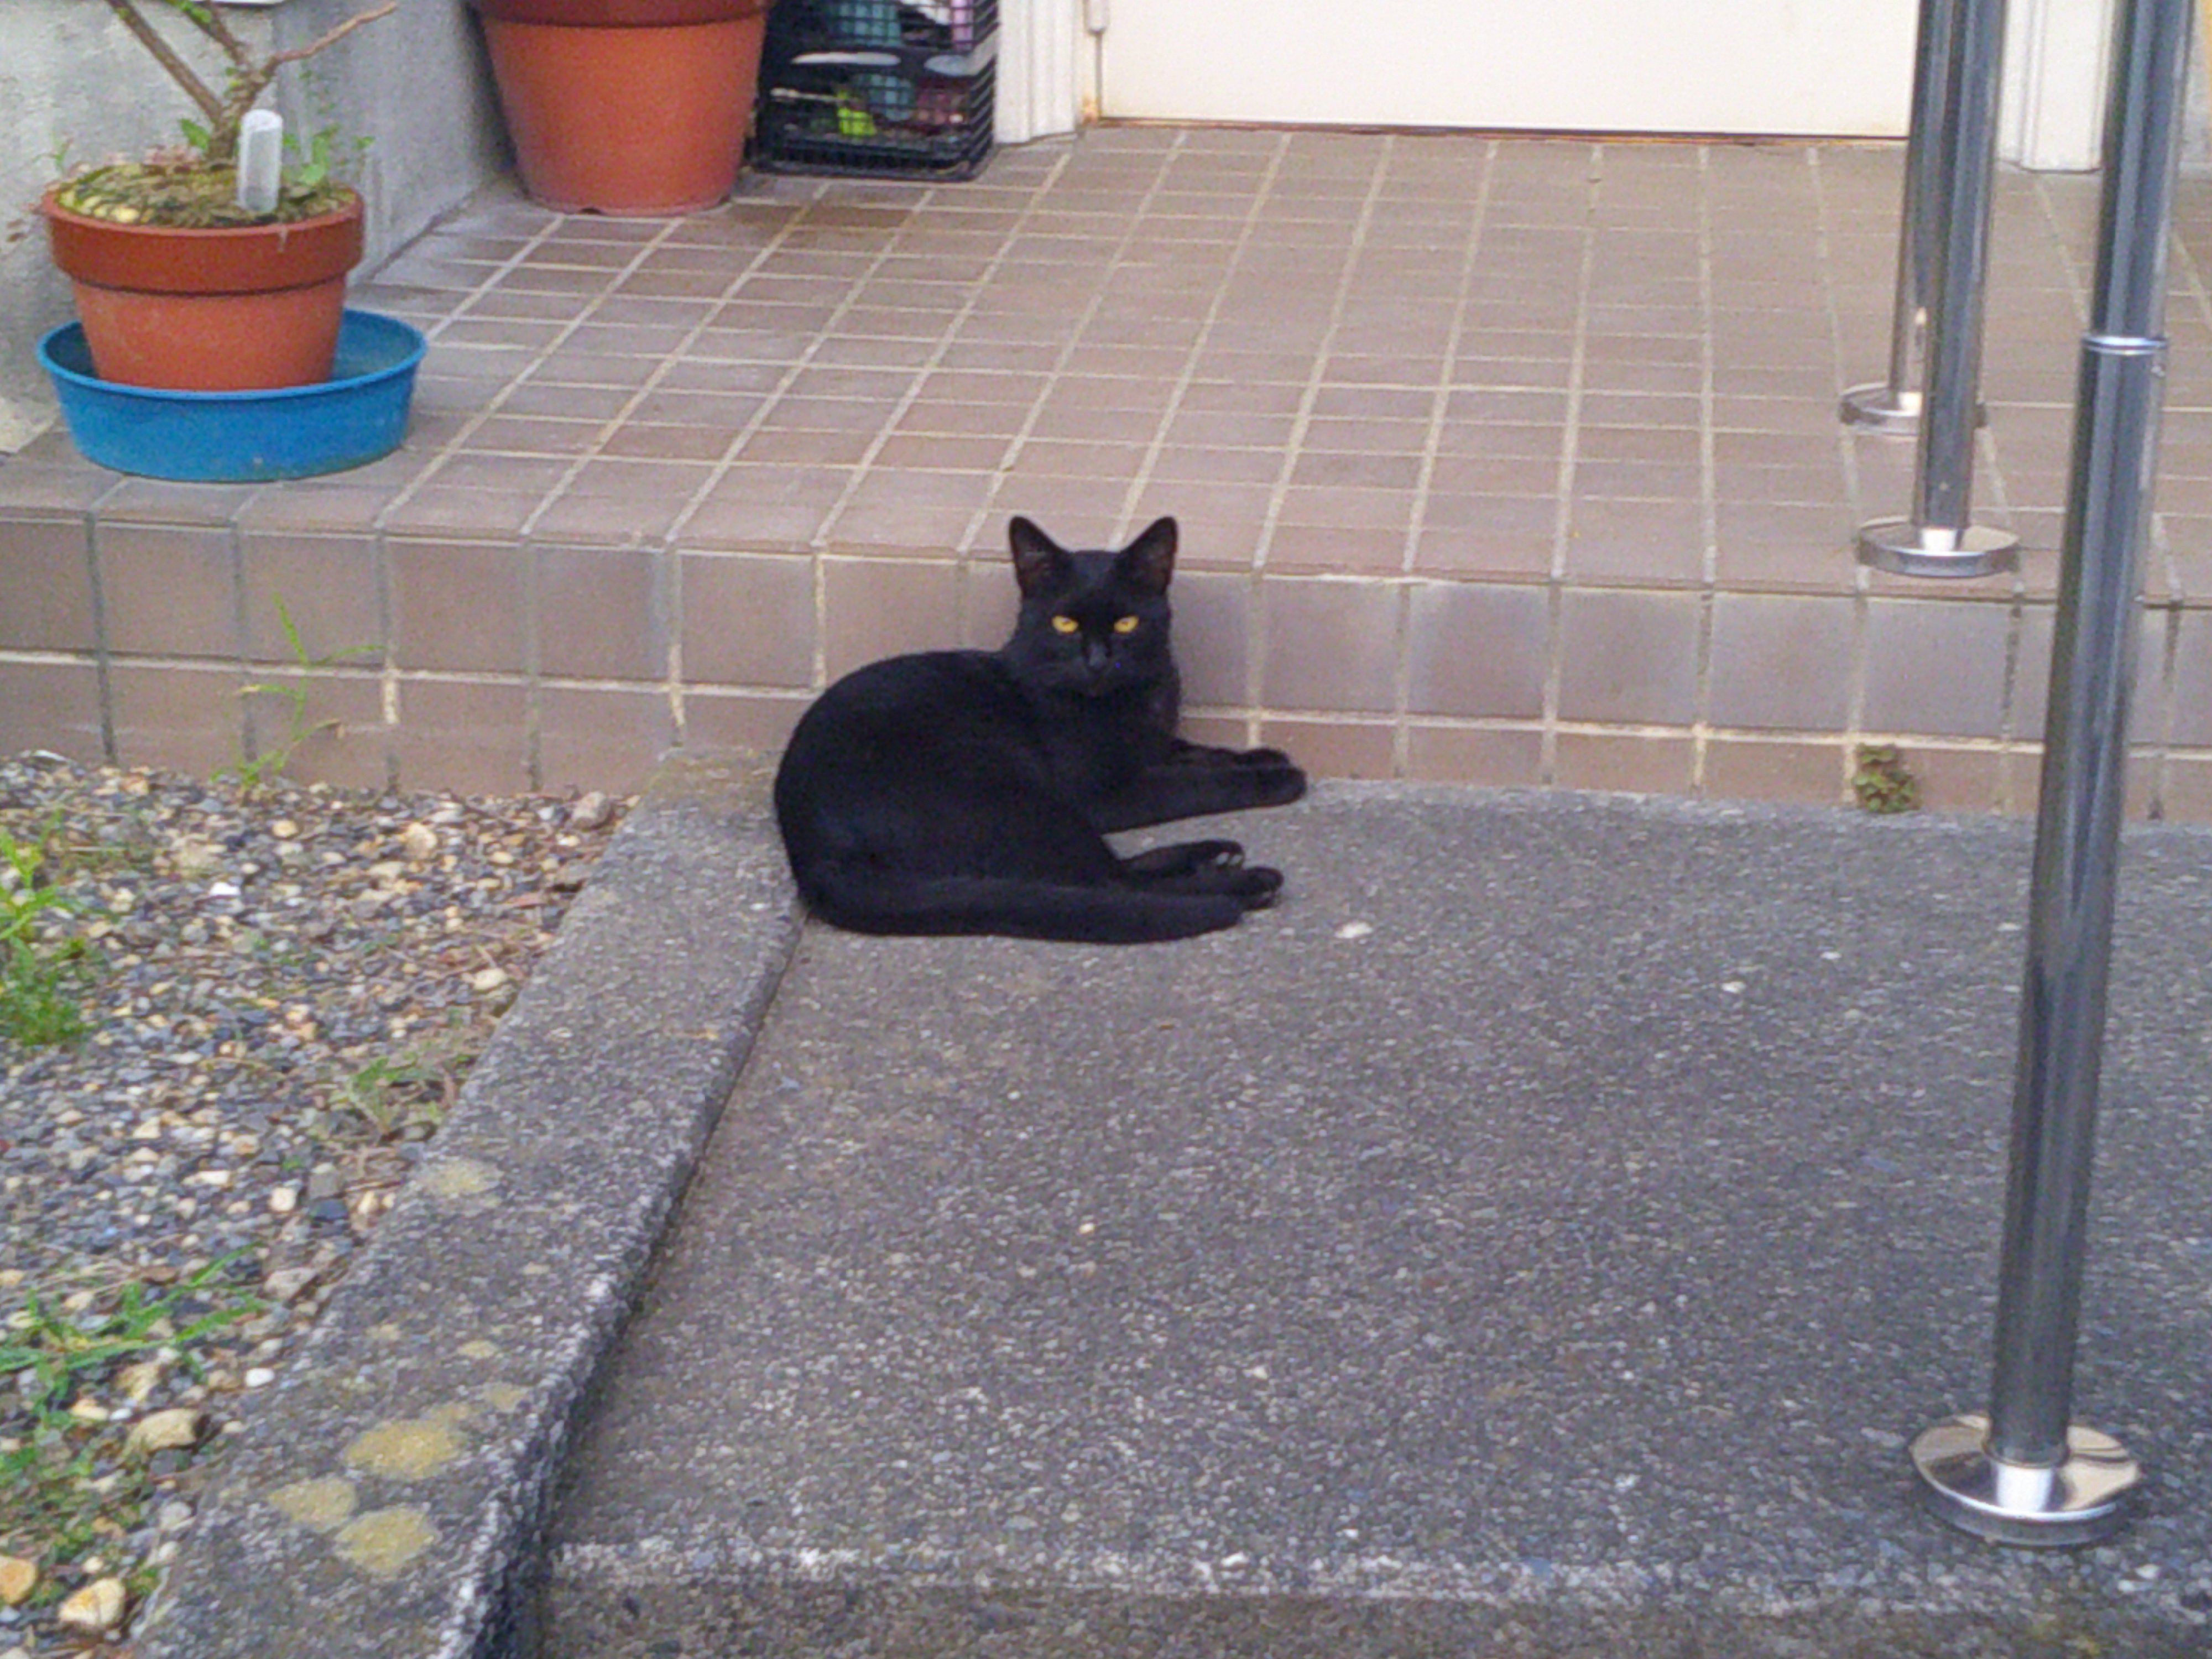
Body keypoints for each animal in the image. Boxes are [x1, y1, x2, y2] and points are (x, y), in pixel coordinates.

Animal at [773, 515, 1306, 943]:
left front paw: (1260, 756)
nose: (1097, 661)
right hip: (1022, 799)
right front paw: (1277, 778)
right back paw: (1244, 882)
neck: (1133, 699)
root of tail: (811, 849)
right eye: (1065, 623)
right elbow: (1194, 783)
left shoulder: (1152, 744)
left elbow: (1192, 752)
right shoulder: (1105, 791)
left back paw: (1215, 856)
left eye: (1128, 623)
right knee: (1108, 882)